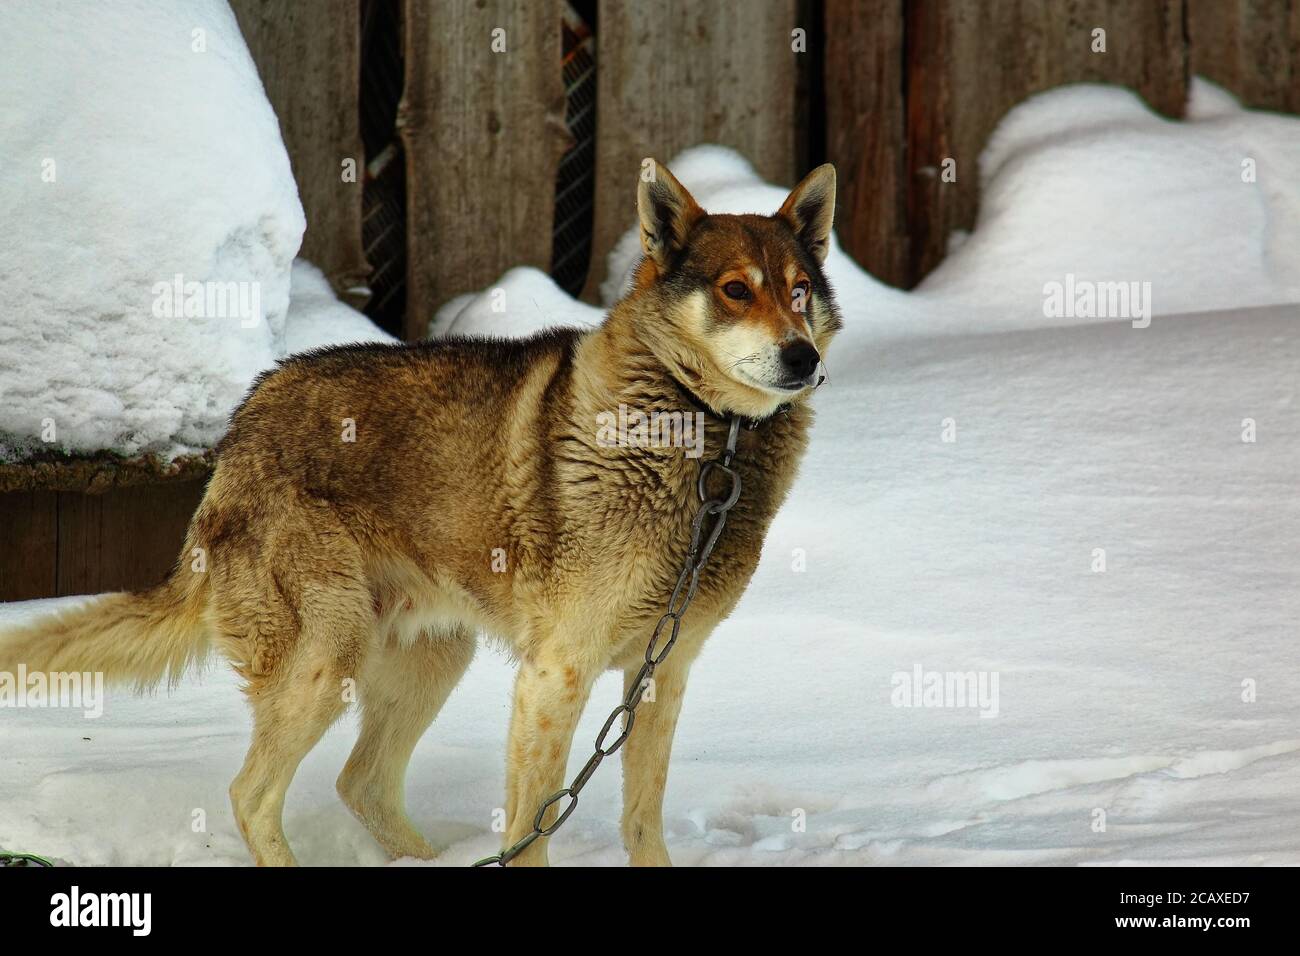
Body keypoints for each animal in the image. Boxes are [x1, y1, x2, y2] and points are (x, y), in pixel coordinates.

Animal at [2, 158, 842, 868]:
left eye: (799, 290)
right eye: (735, 290)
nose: (803, 357)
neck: (710, 444)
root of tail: (242, 426)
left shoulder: (660, 674)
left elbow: (644, 824)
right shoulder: (555, 675)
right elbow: (531, 830)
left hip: (434, 657)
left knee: (361, 783)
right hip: (328, 655)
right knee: (253, 794)